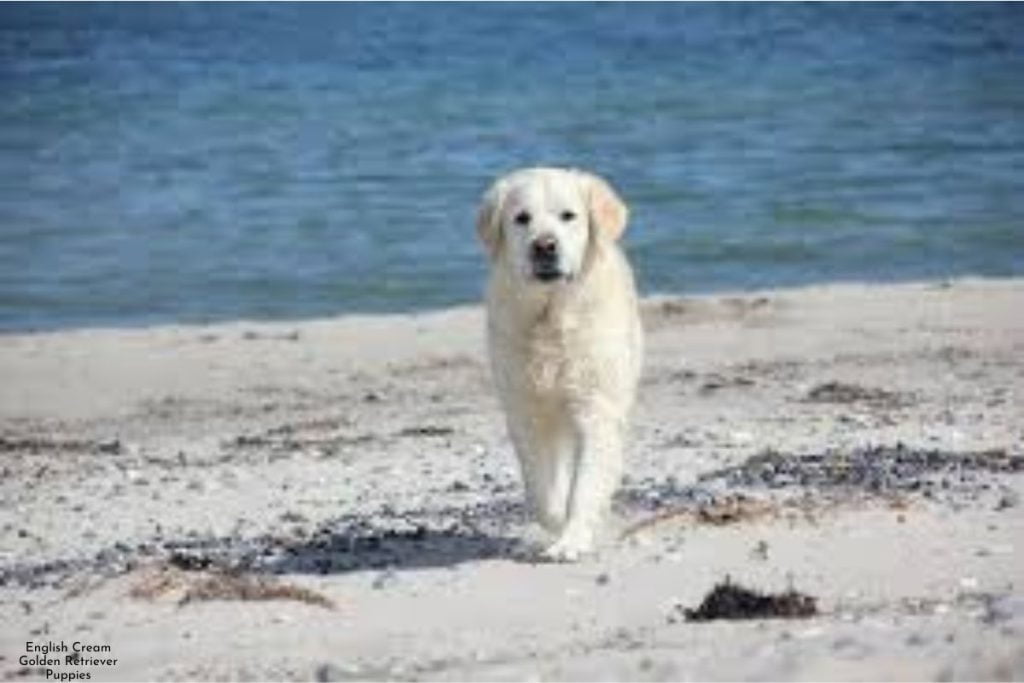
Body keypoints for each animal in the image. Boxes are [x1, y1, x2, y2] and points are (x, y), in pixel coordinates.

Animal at [475, 166, 643, 561]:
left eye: (569, 215)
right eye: (522, 218)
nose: (544, 246)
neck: (550, 316)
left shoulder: (595, 408)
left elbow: (586, 485)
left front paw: (571, 541)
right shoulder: (526, 410)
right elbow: (543, 488)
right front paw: (557, 524)